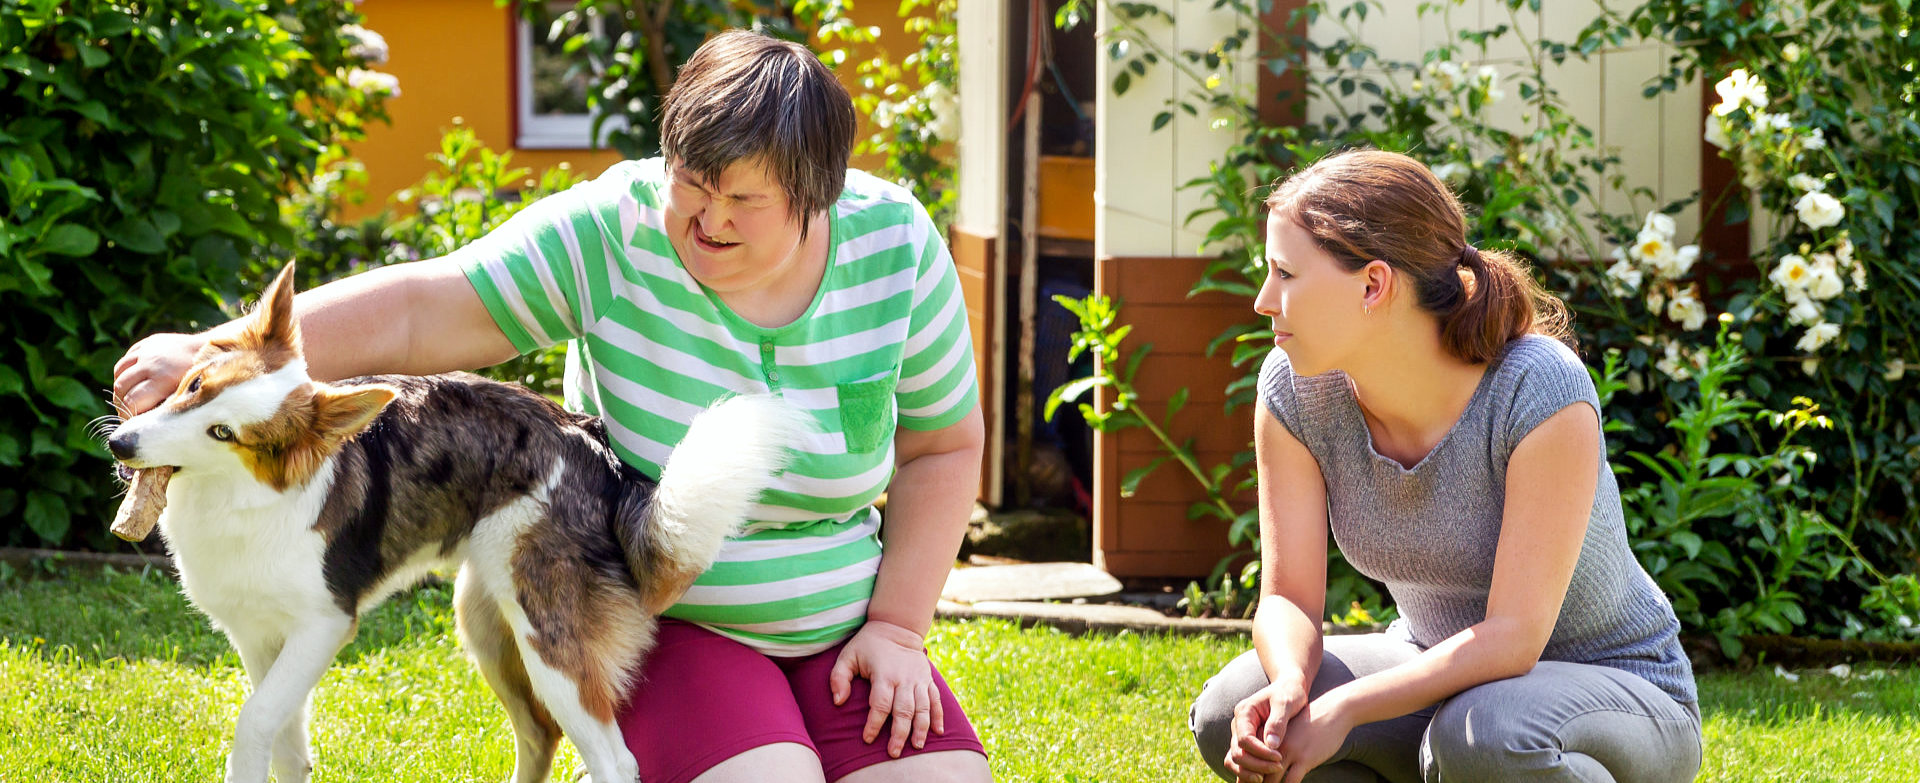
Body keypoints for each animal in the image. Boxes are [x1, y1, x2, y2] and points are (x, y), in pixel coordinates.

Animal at [108, 264, 798, 783]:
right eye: (193, 384)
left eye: (225, 432)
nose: (120, 443)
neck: (237, 498)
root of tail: (597, 453)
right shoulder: (257, 636)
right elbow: (281, 740)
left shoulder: (324, 623)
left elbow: (254, 722)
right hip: (486, 622)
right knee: (538, 738)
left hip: (548, 637)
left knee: (612, 760)